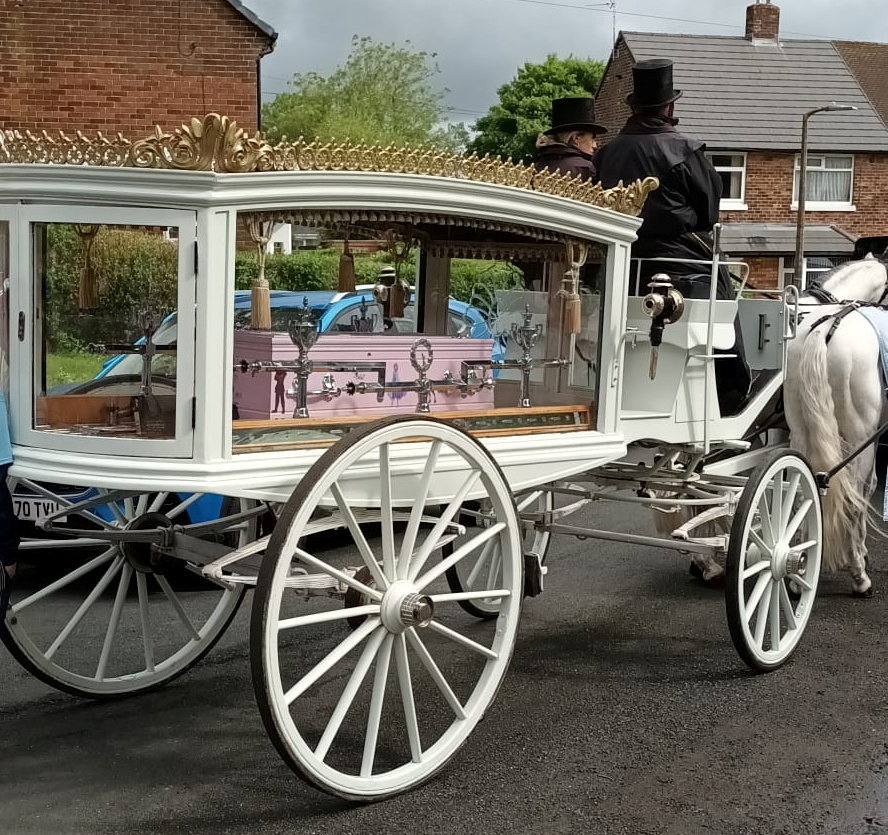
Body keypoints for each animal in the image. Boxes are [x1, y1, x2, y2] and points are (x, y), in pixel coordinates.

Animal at [784, 255, 888, 596]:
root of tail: (824, 328)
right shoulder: (870, 439)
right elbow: (866, 489)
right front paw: (861, 555)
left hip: (800, 432)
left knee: (802, 491)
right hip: (859, 437)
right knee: (854, 499)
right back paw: (860, 579)